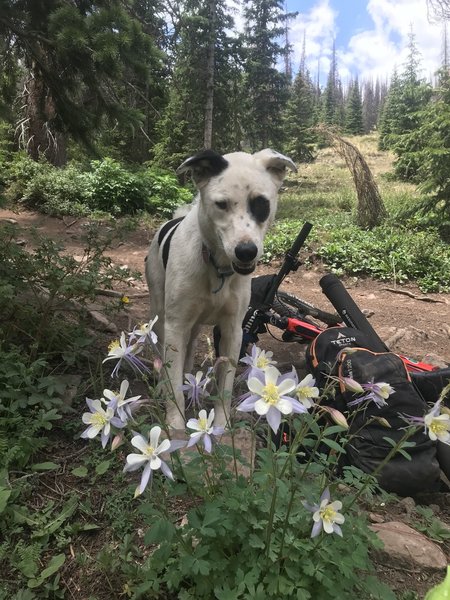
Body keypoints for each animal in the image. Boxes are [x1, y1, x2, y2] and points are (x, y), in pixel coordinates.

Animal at [146, 150, 298, 432]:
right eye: (221, 204)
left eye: (261, 203)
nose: (246, 251)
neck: (216, 267)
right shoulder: (175, 325)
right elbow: (173, 384)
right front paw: (176, 425)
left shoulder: (233, 330)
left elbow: (225, 384)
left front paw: (222, 423)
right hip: (160, 312)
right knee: (162, 350)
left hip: (193, 325)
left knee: (190, 347)